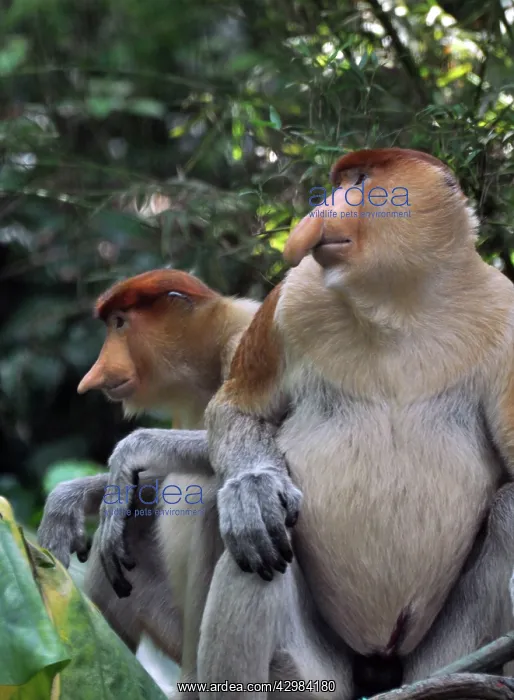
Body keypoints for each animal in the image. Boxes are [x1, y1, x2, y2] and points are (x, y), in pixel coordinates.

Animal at [198, 148, 514, 699]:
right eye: (340, 181)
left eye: (362, 182)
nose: (323, 210)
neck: (397, 304)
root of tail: (377, 667)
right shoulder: (289, 300)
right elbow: (237, 410)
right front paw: (252, 493)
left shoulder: (508, 312)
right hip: (312, 673)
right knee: (252, 559)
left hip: (442, 659)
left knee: (510, 513)